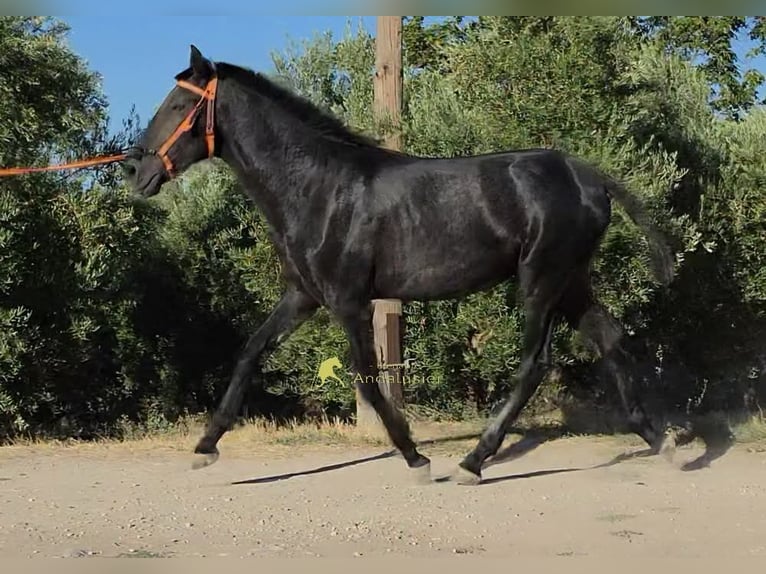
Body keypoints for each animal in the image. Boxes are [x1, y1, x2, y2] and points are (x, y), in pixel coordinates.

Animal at [122, 45, 678, 485]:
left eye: (180, 103)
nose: (135, 170)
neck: (319, 187)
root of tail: (589, 176)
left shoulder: (349, 300)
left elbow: (368, 377)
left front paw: (416, 459)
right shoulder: (303, 296)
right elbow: (250, 353)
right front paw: (204, 449)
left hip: (542, 280)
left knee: (535, 364)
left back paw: (473, 462)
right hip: (571, 281)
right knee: (609, 338)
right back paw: (658, 438)